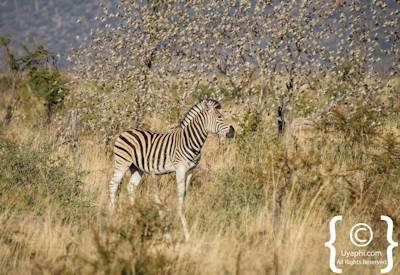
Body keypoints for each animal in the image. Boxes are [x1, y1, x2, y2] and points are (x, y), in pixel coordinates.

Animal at [109, 99, 234, 242]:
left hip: (137, 168)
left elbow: (184, 194)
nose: (233, 131)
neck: (190, 141)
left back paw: (133, 215)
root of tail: (124, 132)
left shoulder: (190, 170)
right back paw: (111, 214)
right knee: (113, 184)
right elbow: (180, 196)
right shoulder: (180, 169)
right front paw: (185, 233)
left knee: (131, 187)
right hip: (122, 163)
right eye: (219, 117)